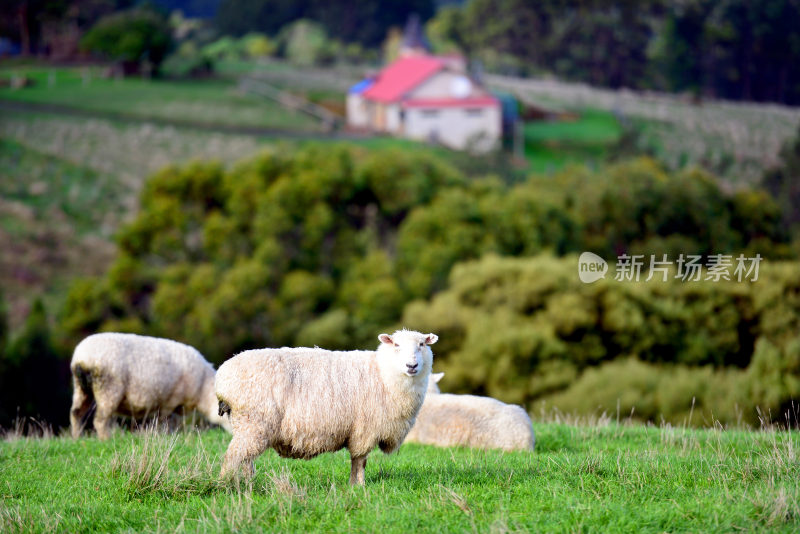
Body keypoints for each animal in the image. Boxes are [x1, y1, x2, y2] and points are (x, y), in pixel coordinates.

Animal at [69, 332, 233, 442]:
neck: (202, 390)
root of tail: (81, 358)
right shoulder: (170, 401)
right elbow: (165, 422)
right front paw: (165, 435)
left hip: (81, 388)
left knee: (76, 413)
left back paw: (77, 438)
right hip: (108, 388)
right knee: (100, 420)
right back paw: (106, 439)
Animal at [214, 330, 438, 486]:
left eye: (421, 344)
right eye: (397, 345)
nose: (411, 366)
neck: (384, 373)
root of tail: (222, 378)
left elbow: (358, 461)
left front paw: (354, 485)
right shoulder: (365, 429)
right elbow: (360, 460)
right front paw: (359, 486)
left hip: (247, 425)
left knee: (246, 460)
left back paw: (248, 484)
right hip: (254, 422)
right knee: (234, 457)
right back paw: (223, 485)